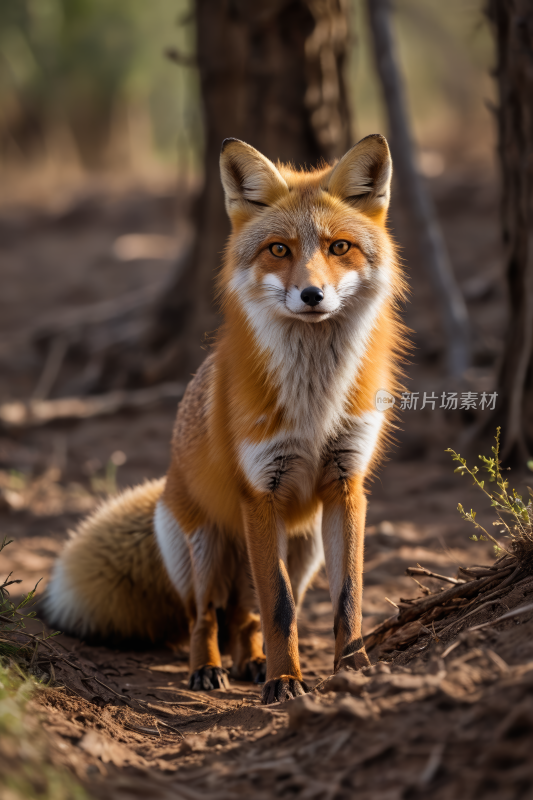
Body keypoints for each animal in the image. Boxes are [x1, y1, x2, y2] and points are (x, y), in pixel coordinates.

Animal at [41, 134, 406, 704]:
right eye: (279, 249)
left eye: (339, 247)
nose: (312, 295)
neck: (315, 403)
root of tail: (168, 485)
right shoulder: (261, 492)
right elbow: (280, 608)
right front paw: (285, 680)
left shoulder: (346, 486)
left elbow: (345, 599)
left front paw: (354, 666)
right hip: (207, 547)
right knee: (206, 615)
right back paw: (208, 669)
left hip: (301, 548)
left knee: (246, 615)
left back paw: (250, 661)